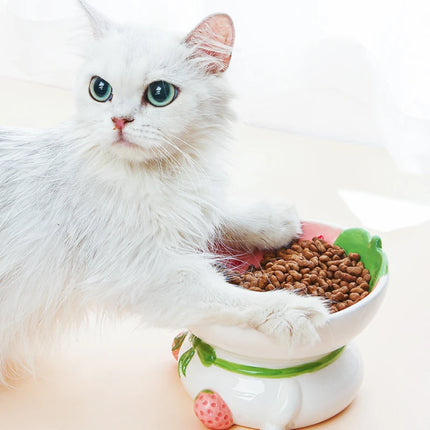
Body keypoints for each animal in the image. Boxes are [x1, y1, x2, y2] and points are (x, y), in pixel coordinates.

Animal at [0, 0, 326, 382]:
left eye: (159, 94)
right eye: (100, 89)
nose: (119, 120)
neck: (159, 175)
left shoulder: (190, 206)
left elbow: (221, 214)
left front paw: (275, 223)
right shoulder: (146, 272)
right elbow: (226, 295)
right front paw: (294, 308)